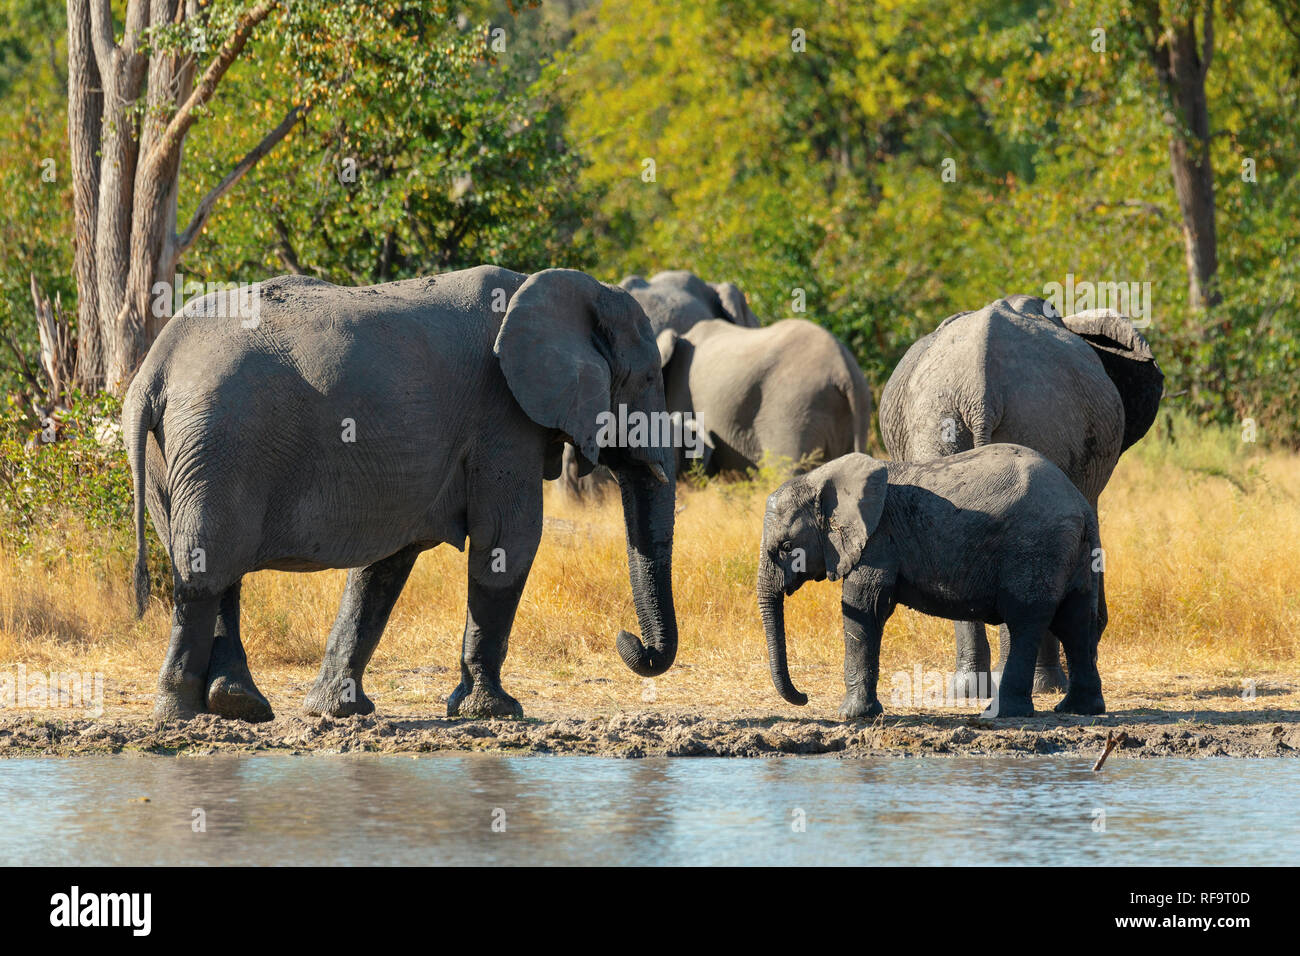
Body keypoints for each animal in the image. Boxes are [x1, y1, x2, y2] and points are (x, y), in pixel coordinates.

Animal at [124, 266, 680, 723]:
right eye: (650, 378)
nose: (627, 638)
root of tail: (156, 368)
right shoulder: (503, 418)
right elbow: (508, 542)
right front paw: (496, 712)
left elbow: (384, 566)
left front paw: (335, 712)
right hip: (218, 438)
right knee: (204, 569)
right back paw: (181, 715)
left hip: (181, 456)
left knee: (215, 569)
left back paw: (239, 707)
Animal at [756, 446, 1106, 720]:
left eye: (787, 547)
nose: (804, 697)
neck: (821, 478)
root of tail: (1081, 504)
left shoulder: (878, 540)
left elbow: (864, 606)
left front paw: (851, 716)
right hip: (1075, 552)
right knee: (1074, 622)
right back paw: (1077, 709)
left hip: (1035, 547)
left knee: (1026, 620)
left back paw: (1003, 713)